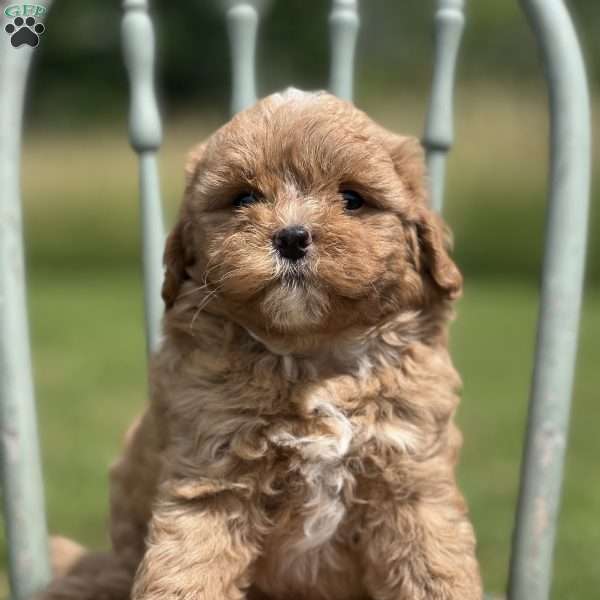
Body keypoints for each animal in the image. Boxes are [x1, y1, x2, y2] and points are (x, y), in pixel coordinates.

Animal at [41, 89, 482, 600]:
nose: (291, 236)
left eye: (352, 199)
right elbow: (188, 569)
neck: (312, 357)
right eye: (244, 197)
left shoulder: (411, 476)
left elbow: (433, 568)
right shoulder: (212, 475)